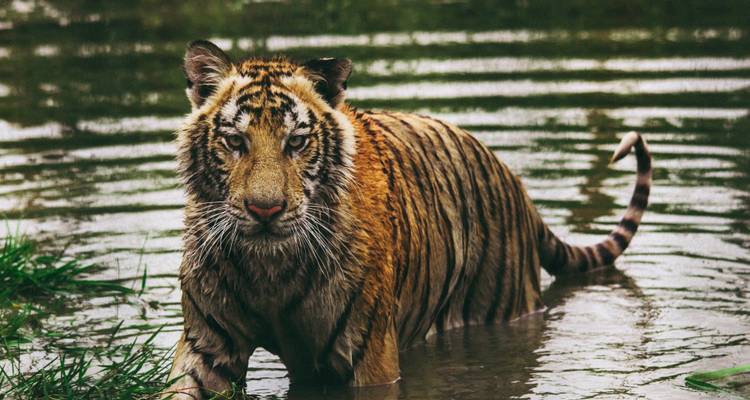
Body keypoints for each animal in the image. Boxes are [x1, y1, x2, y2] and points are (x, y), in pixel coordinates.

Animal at [163, 40, 652, 399]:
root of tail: (516, 183)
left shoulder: (368, 357)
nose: (265, 210)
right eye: (235, 141)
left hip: (501, 309)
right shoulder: (207, 348)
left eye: (297, 142)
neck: (269, 270)